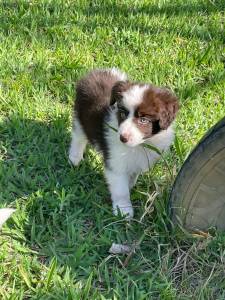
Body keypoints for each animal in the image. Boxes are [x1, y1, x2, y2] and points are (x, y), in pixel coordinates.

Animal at [69, 67, 178, 218]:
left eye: (143, 120)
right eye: (123, 114)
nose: (122, 138)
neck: (140, 145)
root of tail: (96, 72)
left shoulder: (139, 160)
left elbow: (132, 175)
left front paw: (130, 185)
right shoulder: (116, 163)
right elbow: (121, 189)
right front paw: (123, 210)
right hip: (80, 116)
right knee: (78, 136)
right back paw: (74, 158)